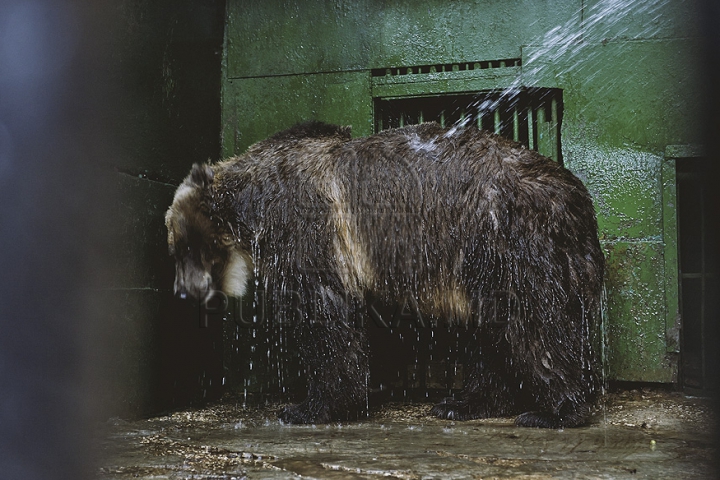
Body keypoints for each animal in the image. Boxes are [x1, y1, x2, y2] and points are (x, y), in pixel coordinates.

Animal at [166, 122, 604, 430]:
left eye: (182, 246)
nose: (182, 293)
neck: (250, 206)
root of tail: (579, 200)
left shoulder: (308, 228)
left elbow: (327, 317)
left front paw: (307, 407)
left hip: (507, 238)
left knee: (532, 322)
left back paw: (555, 411)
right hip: (487, 261)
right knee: (493, 329)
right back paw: (462, 403)